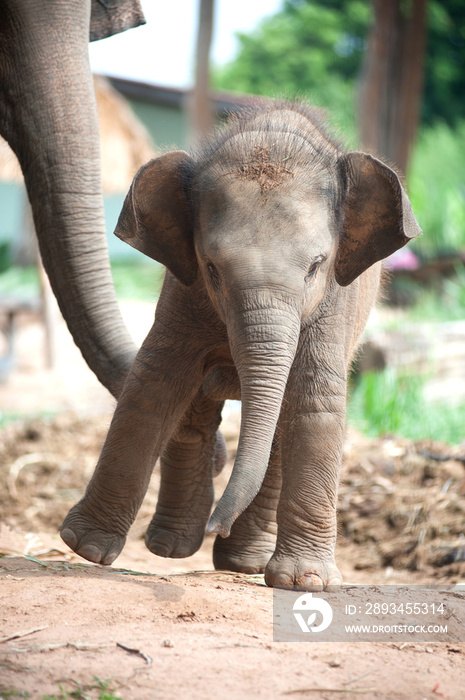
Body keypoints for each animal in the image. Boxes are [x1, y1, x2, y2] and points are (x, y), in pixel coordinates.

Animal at [59, 101, 420, 588]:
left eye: (315, 266)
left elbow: (314, 400)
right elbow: (154, 382)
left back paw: (243, 562)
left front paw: (305, 582)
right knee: (195, 411)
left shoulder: (334, 306)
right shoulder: (184, 290)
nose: (220, 525)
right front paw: (85, 547)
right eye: (212, 268)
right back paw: (172, 547)